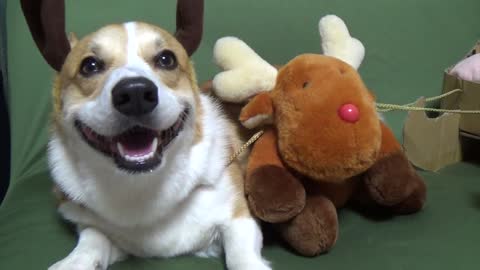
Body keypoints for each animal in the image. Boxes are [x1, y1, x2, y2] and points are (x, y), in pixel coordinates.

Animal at [18, 0, 270, 268]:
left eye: (166, 59)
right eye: (90, 65)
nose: (135, 94)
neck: (143, 185)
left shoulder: (239, 219)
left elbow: (240, 256)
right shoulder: (94, 225)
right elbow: (92, 238)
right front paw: (75, 261)